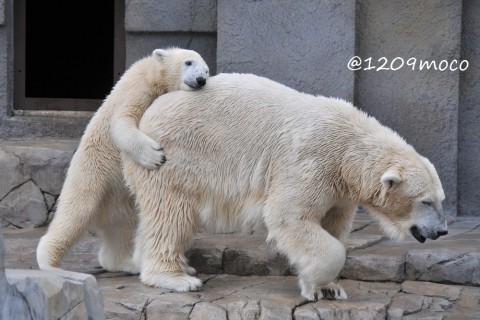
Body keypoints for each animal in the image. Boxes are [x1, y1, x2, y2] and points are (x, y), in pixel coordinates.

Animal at [36, 47, 209, 272]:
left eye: (206, 70)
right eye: (188, 62)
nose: (200, 80)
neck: (153, 73)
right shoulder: (138, 89)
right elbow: (123, 121)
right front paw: (155, 155)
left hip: (121, 197)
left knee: (123, 227)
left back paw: (128, 264)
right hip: (92, 173)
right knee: (75, 213)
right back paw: (49, 262)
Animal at [122, 72, 448, 300]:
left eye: (440, 198)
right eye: (425, 201)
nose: (442, 231)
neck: (349, 149)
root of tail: (148, 114)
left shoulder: (339, 188)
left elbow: (332, 223)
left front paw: (329, 287)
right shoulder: (311, 161)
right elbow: (289, 215)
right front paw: (319, 284)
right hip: (173, 158)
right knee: (172, 213)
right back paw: (177, 277)